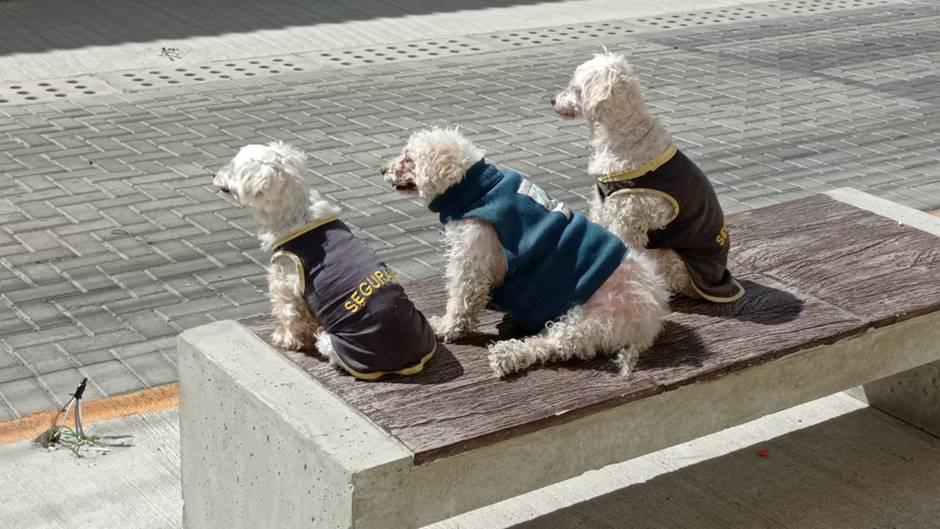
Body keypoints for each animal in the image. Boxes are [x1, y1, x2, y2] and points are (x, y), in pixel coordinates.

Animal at [214, 140, 436, 380]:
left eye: (233, 168)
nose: (215, 174)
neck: (296, 215)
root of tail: (409, 362)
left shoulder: (285, 283)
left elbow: (290, 315)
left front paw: (286, 337)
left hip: (336, 344)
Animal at [382, 127, 668, 376]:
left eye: (408, 158)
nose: (382, 169)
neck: (479, 189)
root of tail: (651, 317)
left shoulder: (472, 259)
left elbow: (462, 302)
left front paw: (446, 327)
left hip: (588, 321)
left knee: (552, 346)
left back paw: (509, 354)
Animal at [552, 53, 740, 304]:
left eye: (576, 88)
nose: (552, 100)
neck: (625, 136)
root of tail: (720, 278)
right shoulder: (603, 203)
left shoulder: (628, 214)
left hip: (668, 256)